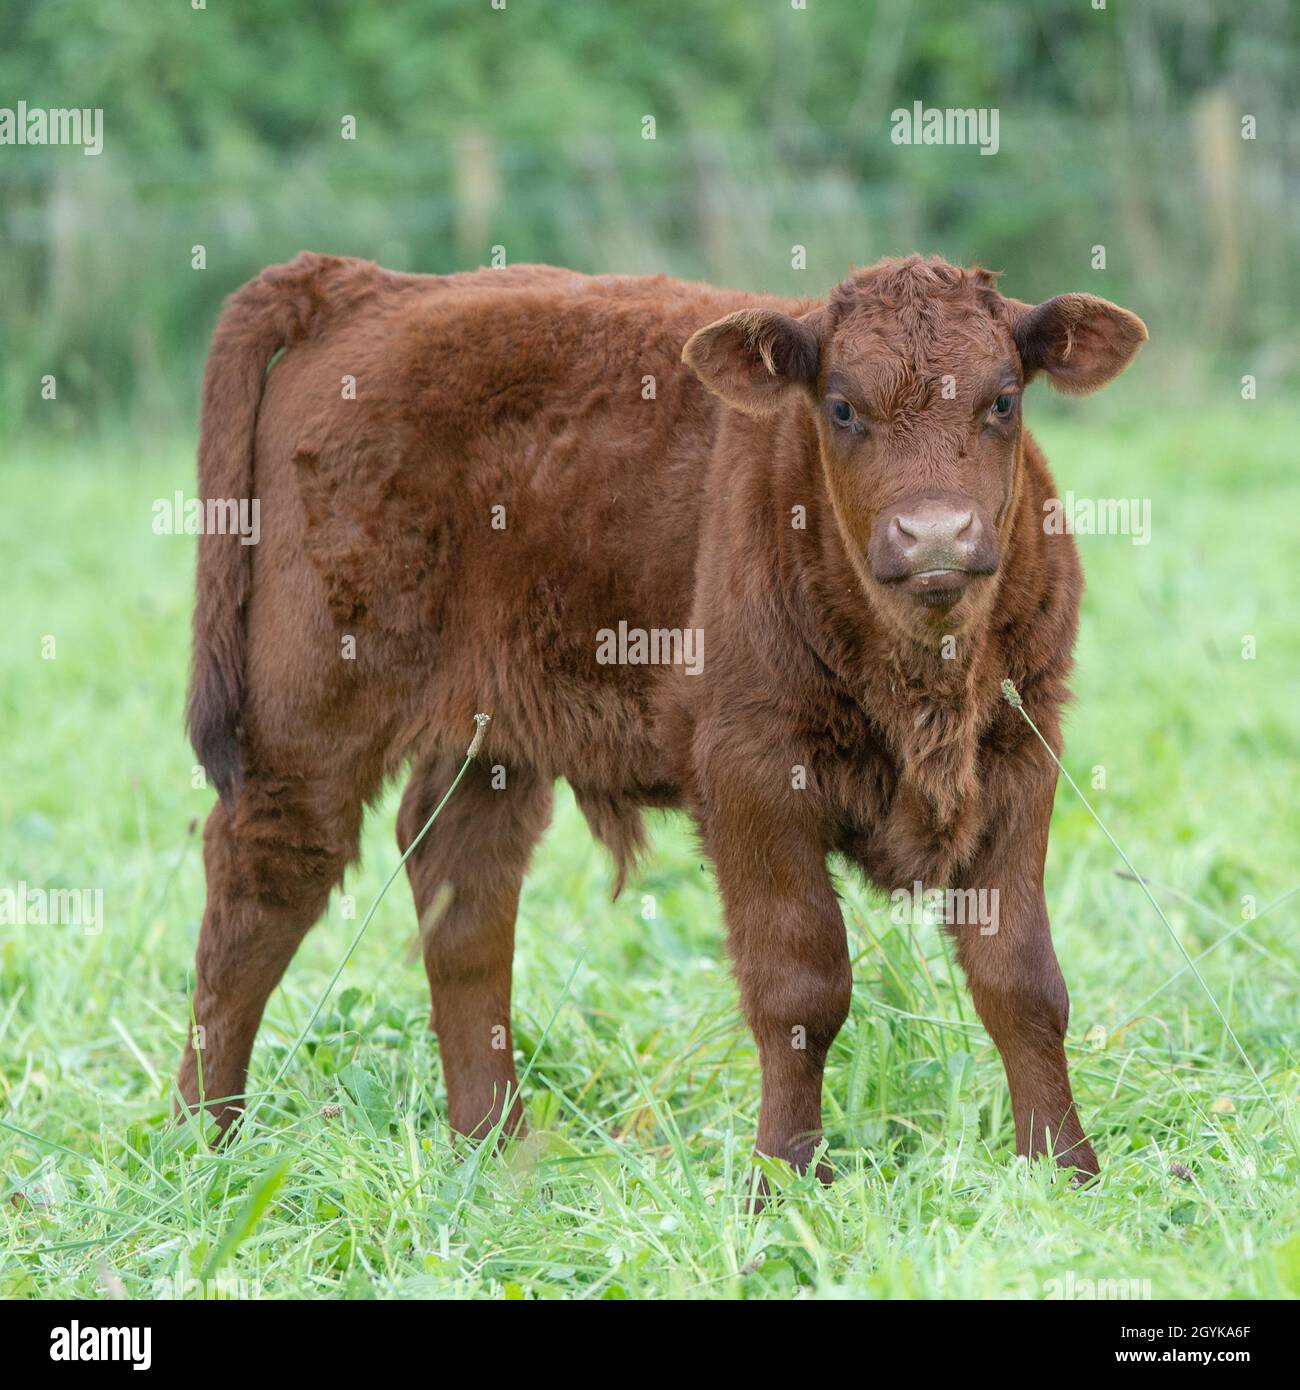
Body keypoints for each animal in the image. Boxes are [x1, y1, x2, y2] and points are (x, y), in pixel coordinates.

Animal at [177, 250, 1145, 1173]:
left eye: (1004, 399)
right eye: (841, 407)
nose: (936, 536)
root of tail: (365, 285)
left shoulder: (1020, 755)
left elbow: (1022, 980)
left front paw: (1065, 1171)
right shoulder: (753, 774)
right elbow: (801, 988)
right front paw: (784, 1179)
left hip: (488, 735)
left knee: (463, 891)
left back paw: (493, 1149)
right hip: (309, 717)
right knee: (262, 891)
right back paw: (202, 1145)